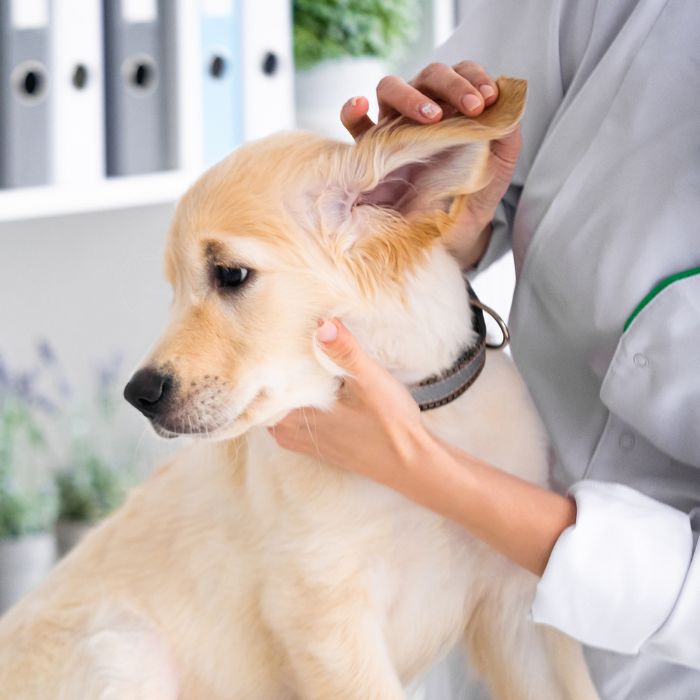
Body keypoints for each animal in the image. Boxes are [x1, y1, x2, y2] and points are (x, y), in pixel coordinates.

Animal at [0, 78, 600, 700]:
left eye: (230, 274)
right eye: (174, 288)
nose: (138, 394)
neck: (428, 416)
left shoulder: (518, 602)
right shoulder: (325, 616)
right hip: (122, 649)